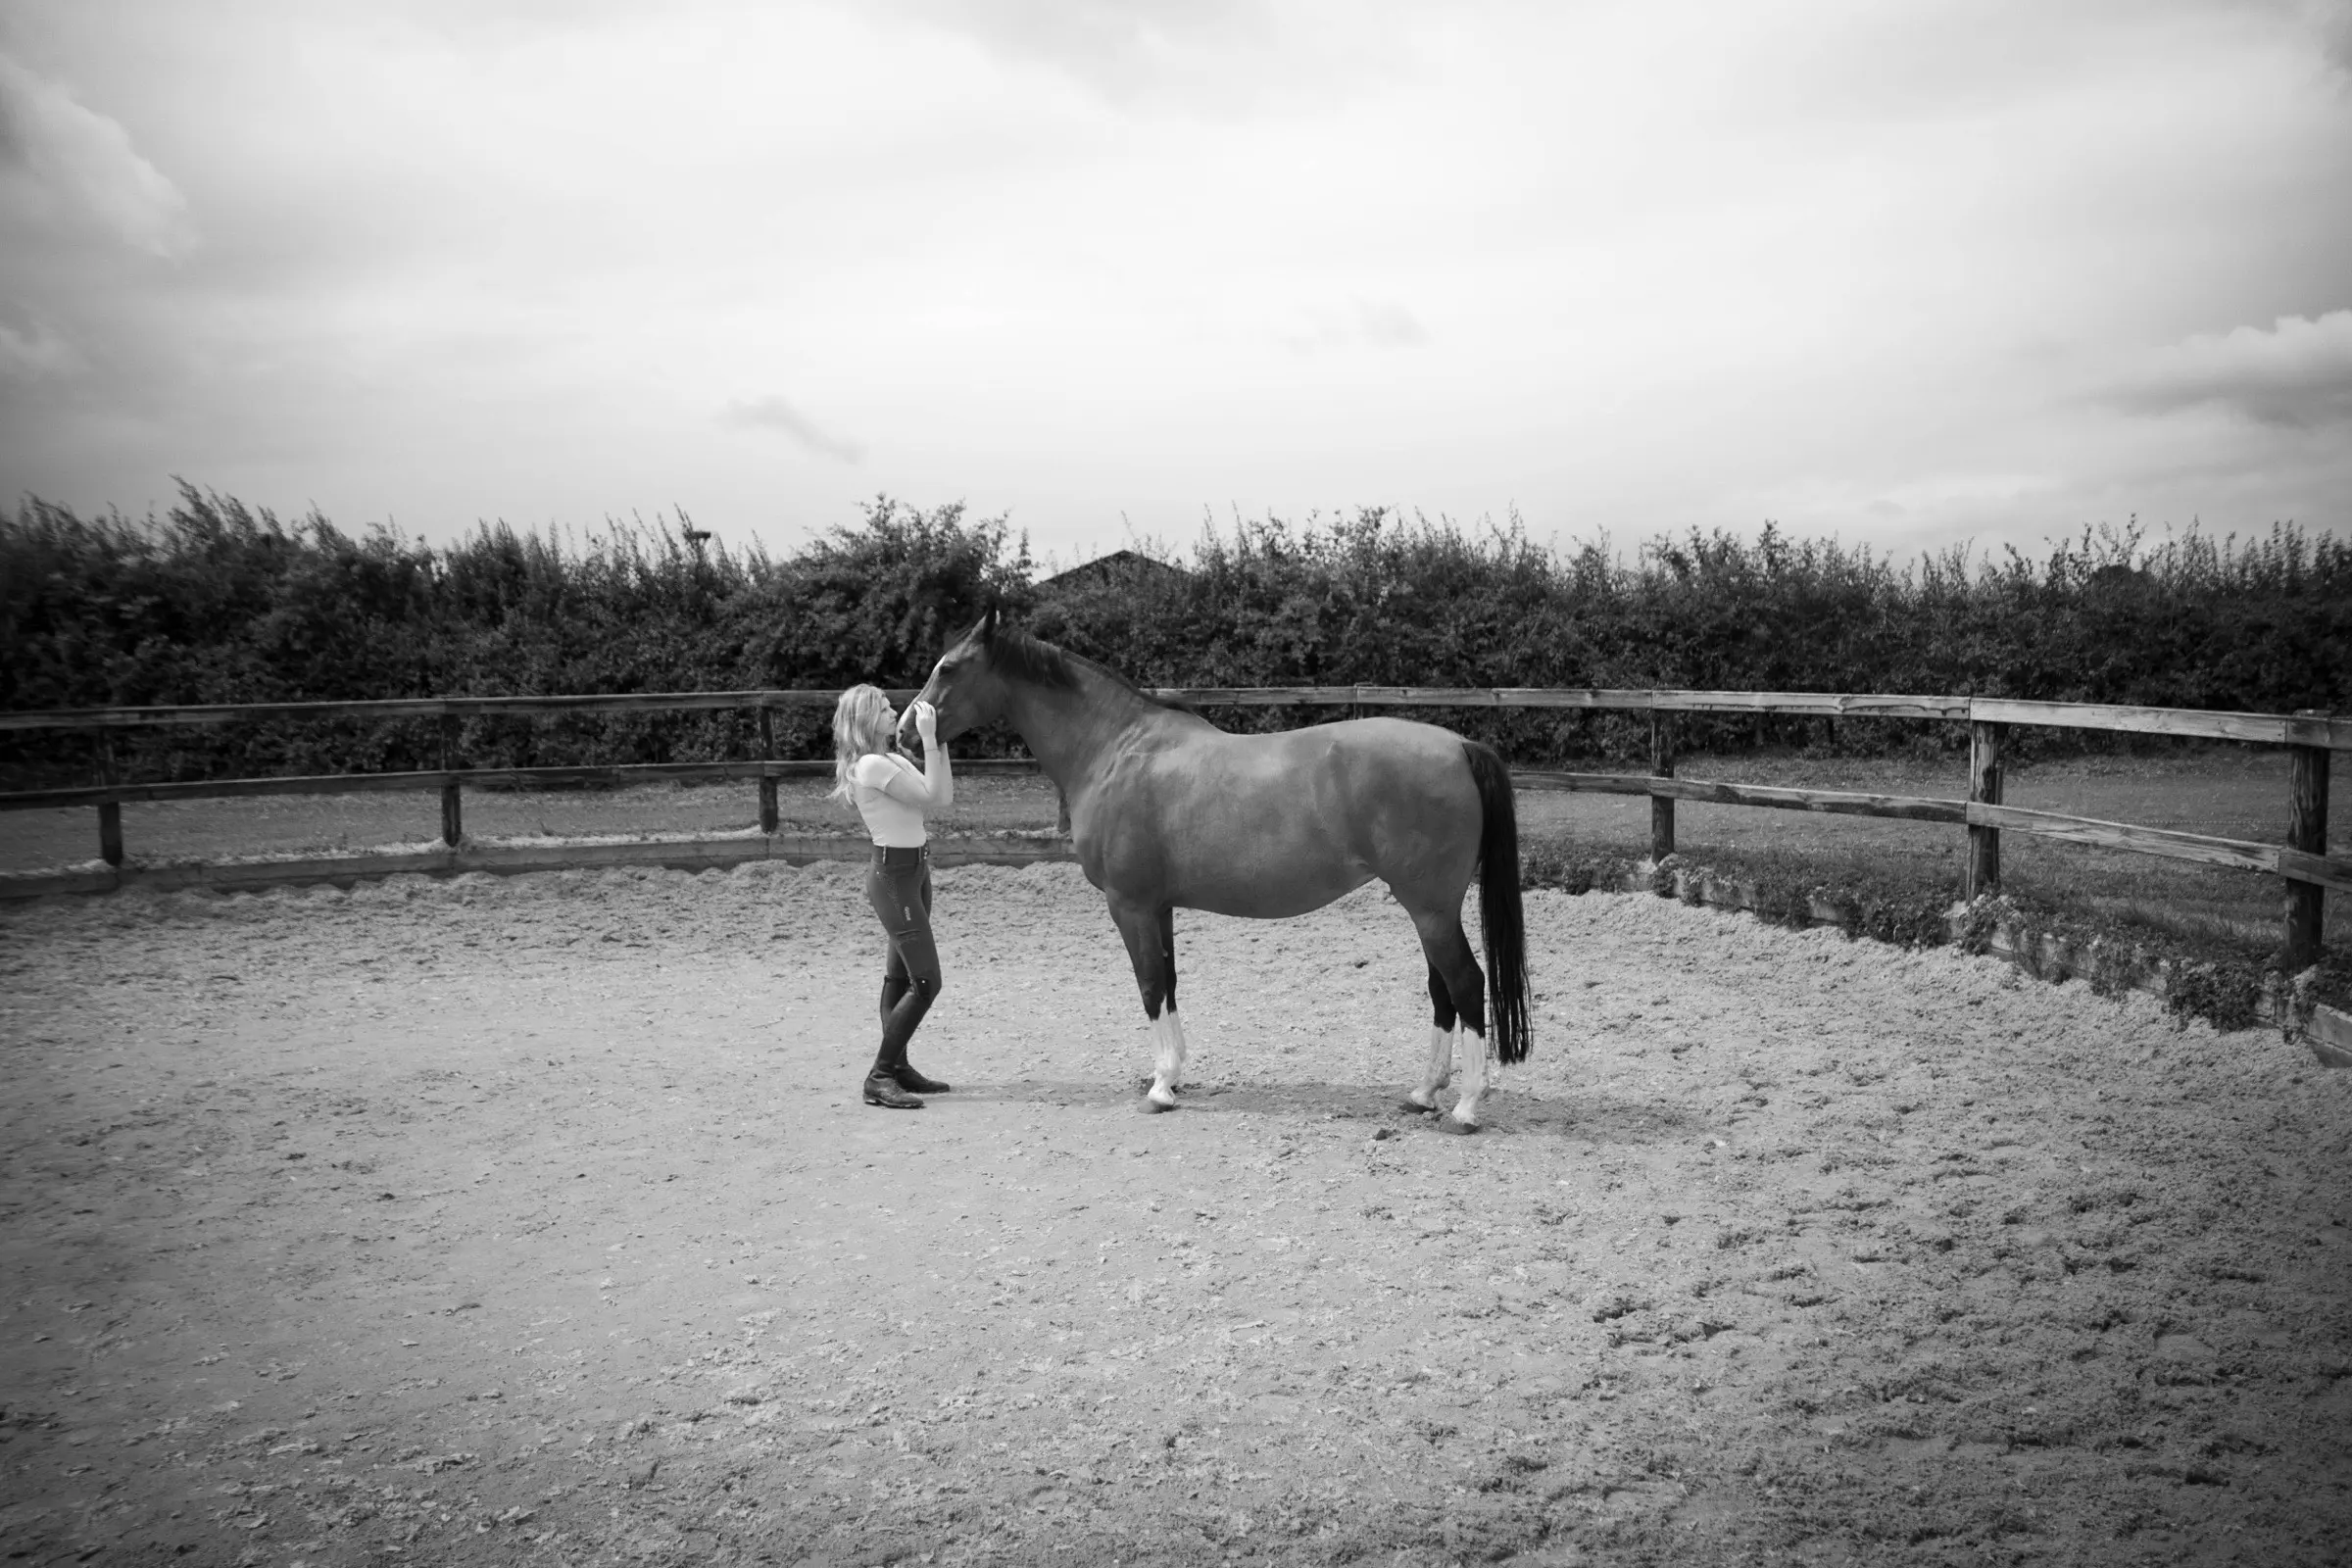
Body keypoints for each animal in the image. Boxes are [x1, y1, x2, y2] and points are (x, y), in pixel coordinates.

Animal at [904, 606, 1530, 1132]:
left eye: (948, 667)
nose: (907, 732)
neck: (1114, 750)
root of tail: (1461, 745)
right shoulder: (1158, 907)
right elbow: (1169, 983)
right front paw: (1173, 1076)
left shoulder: (1129, 905)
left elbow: (1149, 985)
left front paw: (1159, 1088)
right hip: (1428, 909)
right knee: (1442, 990)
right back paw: (1423, 1093)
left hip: (1430, 908)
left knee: (1466, 984)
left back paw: (1466, 1107)